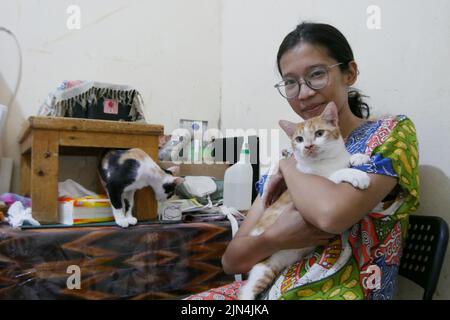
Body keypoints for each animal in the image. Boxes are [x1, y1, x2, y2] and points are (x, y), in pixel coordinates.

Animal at [237, 102, 370, 300]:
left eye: (319, 133)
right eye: (299, 139)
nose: (308, 146)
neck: (328, 161)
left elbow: (347, 160)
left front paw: (359, 157)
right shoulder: (314, 183)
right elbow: (335, 174)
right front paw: (357, 175)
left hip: (268, 268)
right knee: (245, 292)